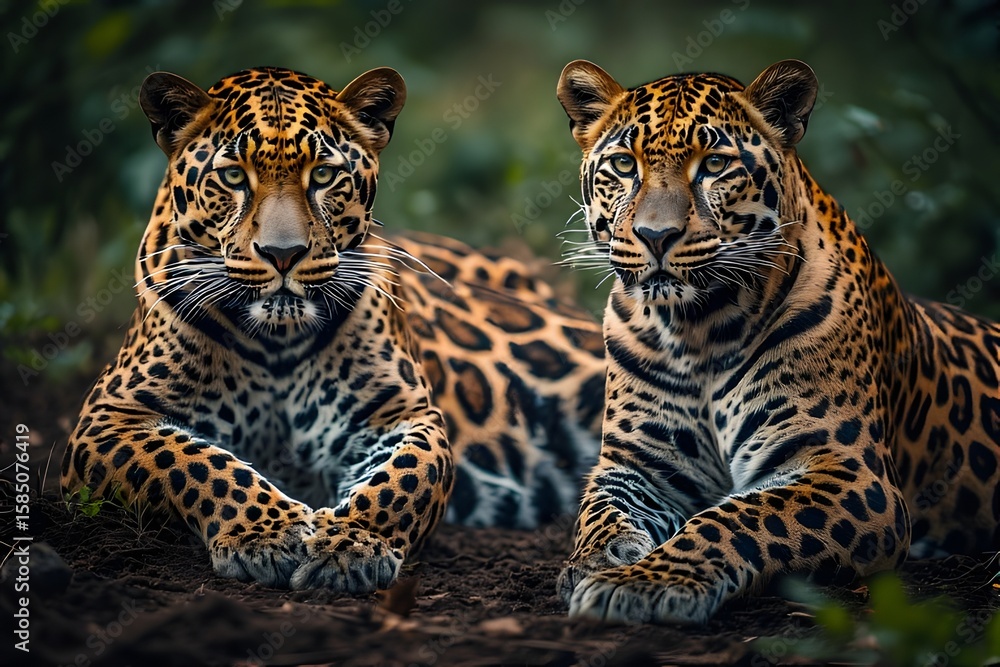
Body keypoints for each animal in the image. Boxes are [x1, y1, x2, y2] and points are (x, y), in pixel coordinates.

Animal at [61, 66, 606, 593]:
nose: (282, 254)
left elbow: (406, 477)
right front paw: (269, 532)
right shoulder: (107, 419)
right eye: (233, 176)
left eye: (323, 175)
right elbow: (193, 461)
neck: (276, 341)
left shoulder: (403, 414)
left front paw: (351, 543)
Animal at [554, 58, 1000, 624]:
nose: (655, 237)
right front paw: (598, 560)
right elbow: (600, 512)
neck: (697, 328)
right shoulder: (638, 464)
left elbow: (736, 518)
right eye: (624, 165)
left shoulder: (850, 472)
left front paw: (644, 581)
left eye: (715, 164)